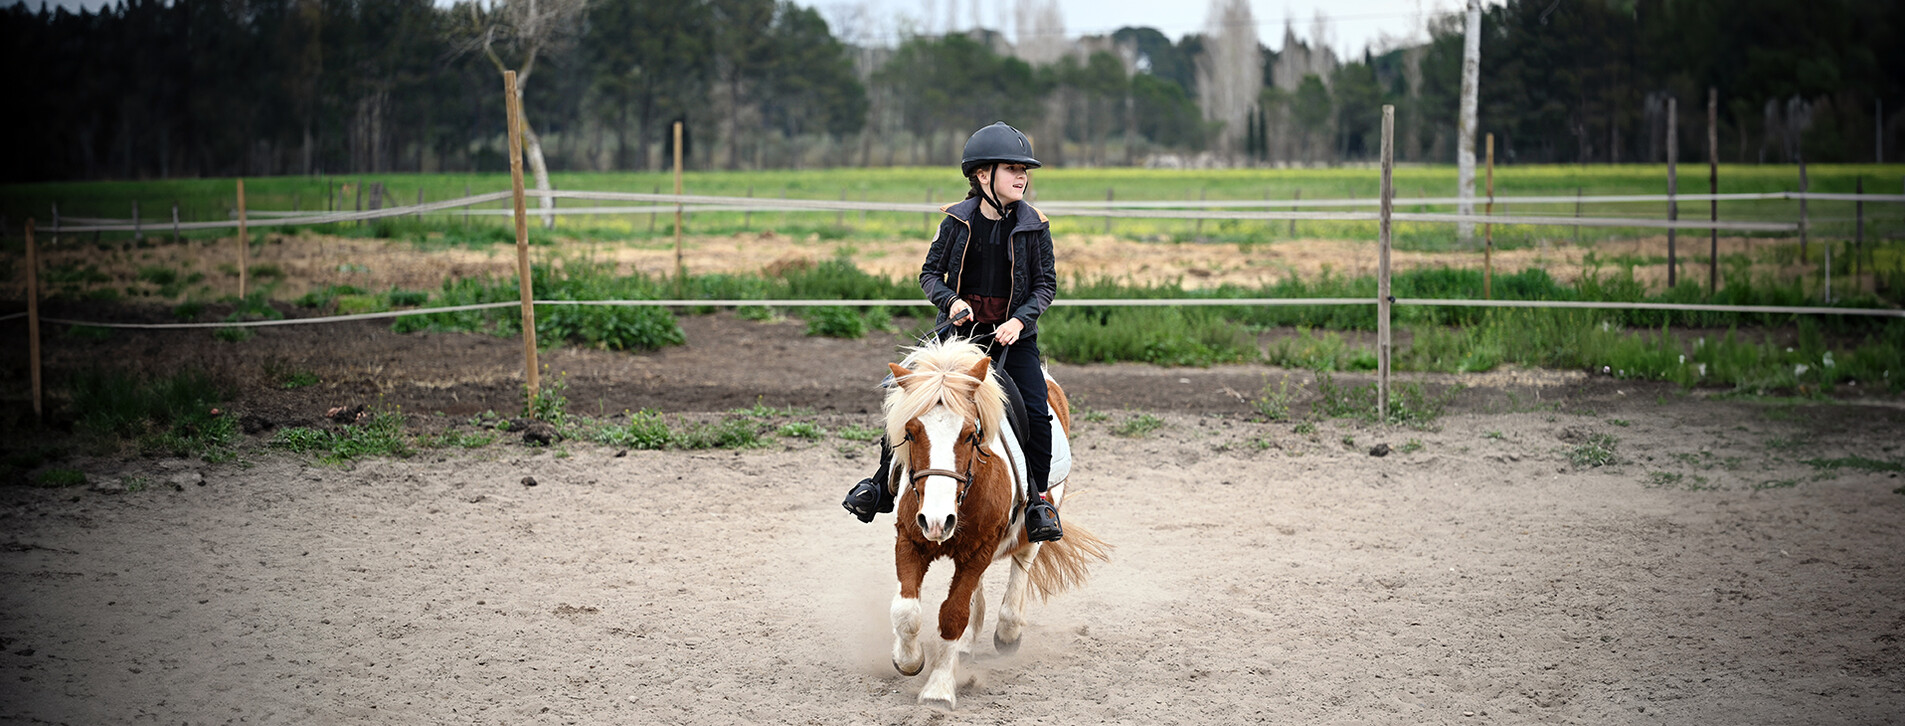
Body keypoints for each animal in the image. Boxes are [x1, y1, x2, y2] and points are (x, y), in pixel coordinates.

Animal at [878, 337, 1111, 709]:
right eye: (910, 433)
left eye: (970, 434)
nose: (936, 521)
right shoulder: (910, 541)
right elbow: (905, 610)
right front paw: (908, 660)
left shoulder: (980, 549)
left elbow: (953, 615)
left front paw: (939, 689)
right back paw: (968, 644)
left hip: (1034, 523)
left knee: (1022, 563)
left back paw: (1008, 632)